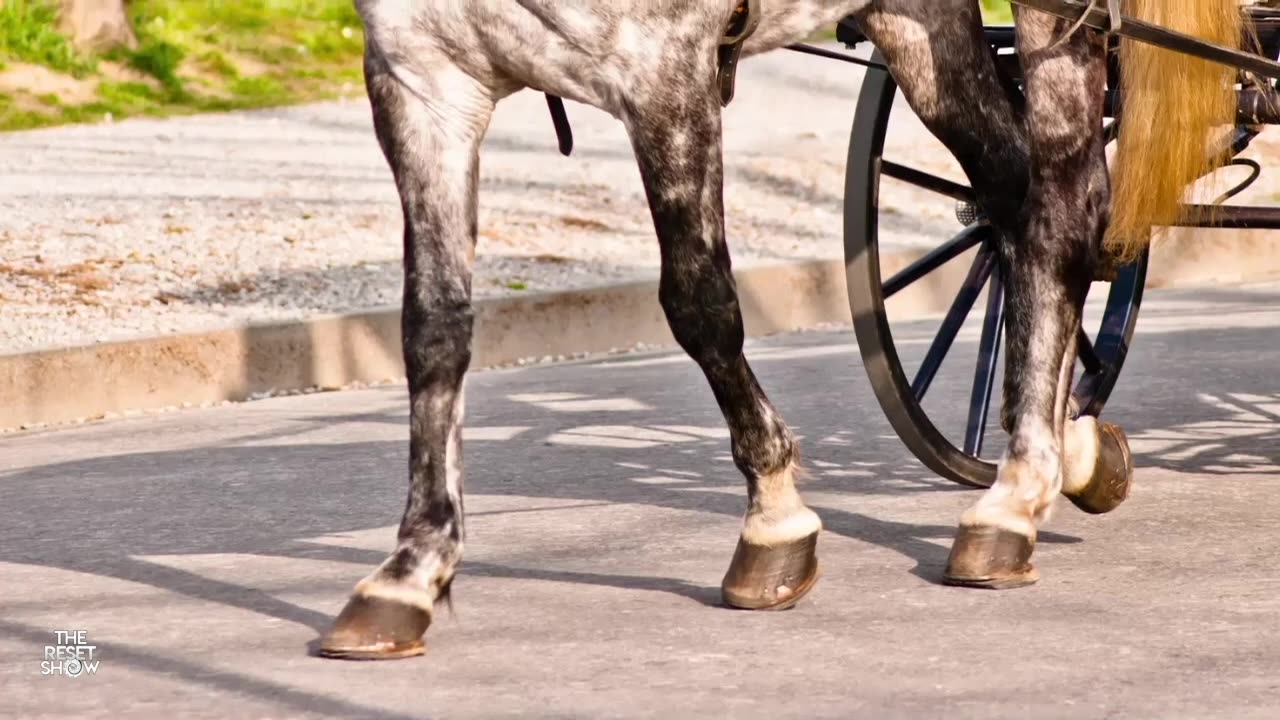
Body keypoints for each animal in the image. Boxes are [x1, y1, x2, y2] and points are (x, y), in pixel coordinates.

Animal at [316, 0, 1243, 659]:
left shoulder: (666, 73)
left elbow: (699, 303)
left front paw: (774, 518)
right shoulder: (421, 78)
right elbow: (433, 328)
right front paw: (410, 570)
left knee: (1060, 213)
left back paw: (1019, 489)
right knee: (1016, 199)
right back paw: (1058, 446)